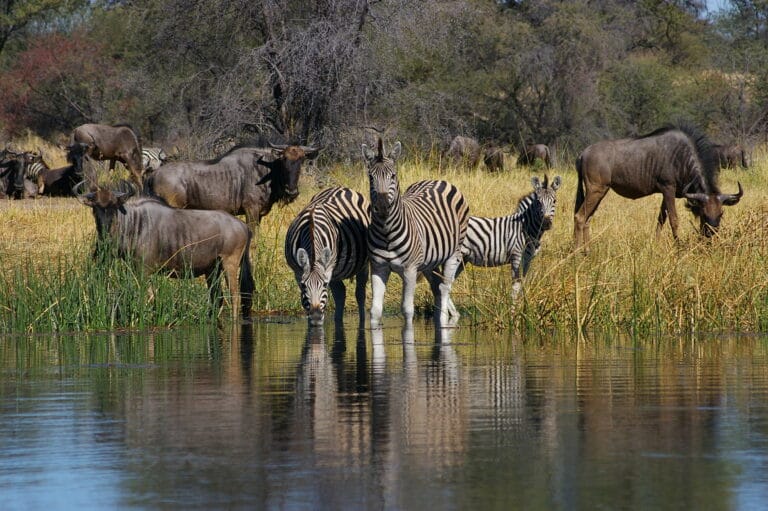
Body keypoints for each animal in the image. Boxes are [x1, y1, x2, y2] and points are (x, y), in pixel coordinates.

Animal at [284, 186, 370, 328]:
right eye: (303, 285)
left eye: (324, 285)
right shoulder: (298, 273)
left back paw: (362, 320)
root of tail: (341, 187)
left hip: (362, 264)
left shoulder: (328, 271)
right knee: (341, 293)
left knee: (360, 292)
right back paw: (338, 321)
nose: (315, 316)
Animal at [363, 138, 469, 328]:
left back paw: (443, 320)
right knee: (437, 286)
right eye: (371, 178)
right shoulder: (378, 267)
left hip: (454, 253)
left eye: (393, 176)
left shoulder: (410, 270)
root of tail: (438, 180)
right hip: (429, 261)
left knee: (445, 287)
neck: (386, 232)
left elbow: (407, 310)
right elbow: (375, 311)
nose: (382, 207)